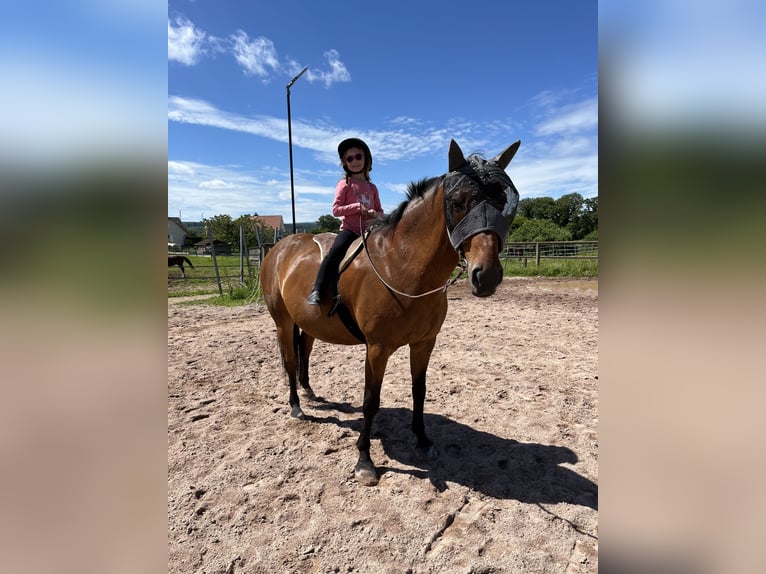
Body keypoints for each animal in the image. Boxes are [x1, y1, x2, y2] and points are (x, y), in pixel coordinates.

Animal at [260, 140, 520, 486]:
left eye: (505, 202)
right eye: (457, 202)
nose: (487, 276)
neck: (400, 265)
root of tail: (279, 248)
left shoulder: (424, 343)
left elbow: (419, 391)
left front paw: (422, 442)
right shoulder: (377, 348)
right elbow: (371, 401)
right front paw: (364, 460)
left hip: (308, 324)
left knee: (305, 350)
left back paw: (309, 392)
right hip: (282, 322)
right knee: (289, 360)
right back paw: (296, 406)